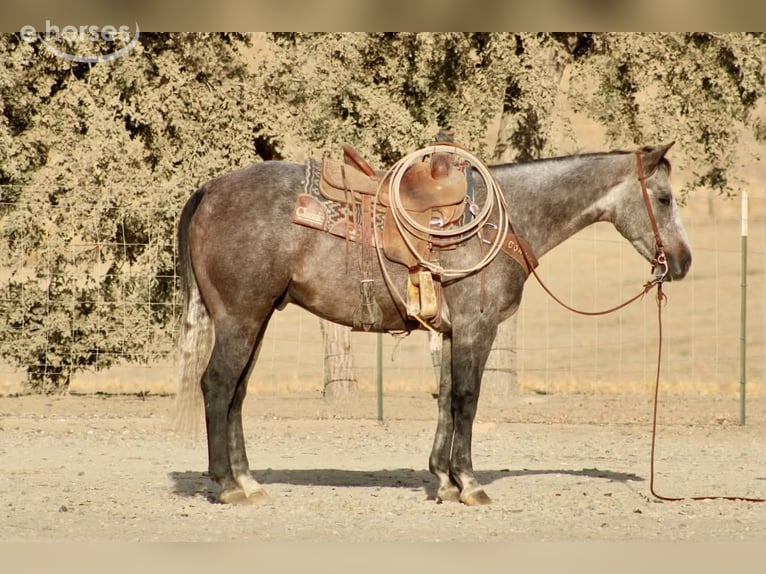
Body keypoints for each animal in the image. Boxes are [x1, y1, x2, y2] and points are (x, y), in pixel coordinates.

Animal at [175, 142, 692, 505]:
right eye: (664, 198)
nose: (683, 261)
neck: (508, 218)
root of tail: (208, 191)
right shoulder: (476, 328)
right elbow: (467, 399)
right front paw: (469, 482)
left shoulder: (448, 333)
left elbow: (445, 399)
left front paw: (443, 479)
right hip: (240, 318)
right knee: (218, 385)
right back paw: (228, 486)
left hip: (255, 319)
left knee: (237, 393)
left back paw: (248, 480)